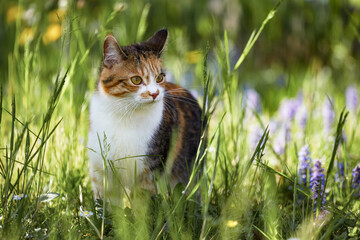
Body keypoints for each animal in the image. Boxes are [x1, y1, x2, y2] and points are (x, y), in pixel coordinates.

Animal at [87, 28, 204, 202]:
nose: (155, 93)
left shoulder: (151, 170)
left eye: (160, 77)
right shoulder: (101, 171)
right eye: (136, 79)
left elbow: (142, 202)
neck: (124, 115)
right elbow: (105, 203)